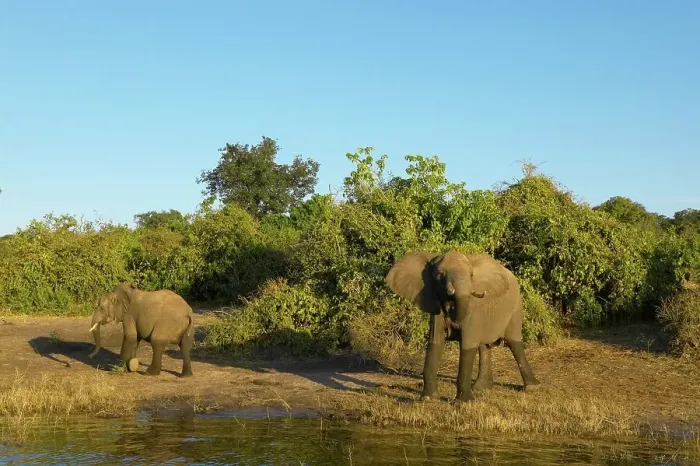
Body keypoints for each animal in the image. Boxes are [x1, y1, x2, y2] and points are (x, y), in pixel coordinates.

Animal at [385, 250, 540, 403]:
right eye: (441, 274)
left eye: (471, 275)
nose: (452, 321)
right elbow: (435, 342)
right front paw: (428, 399)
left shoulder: (473, 309)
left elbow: (467, 346)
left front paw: (463, 402)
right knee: (484, 346)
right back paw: (481, 388)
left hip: (516, 305)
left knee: (514, 342)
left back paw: (532, 387)